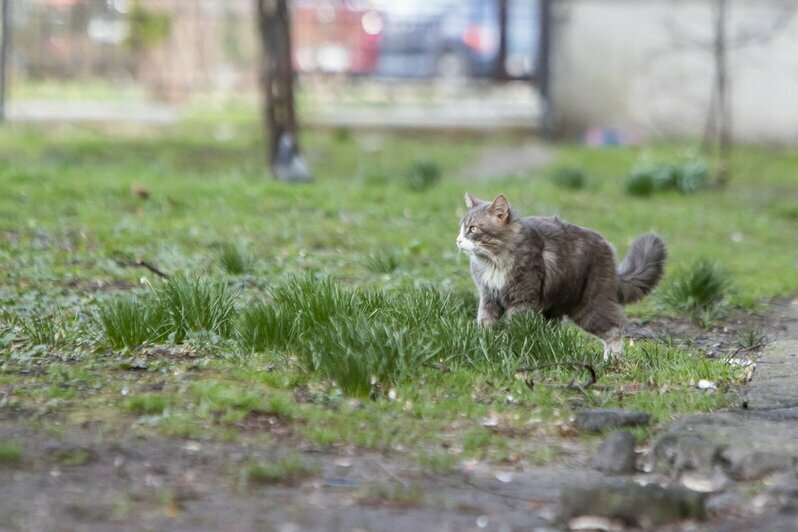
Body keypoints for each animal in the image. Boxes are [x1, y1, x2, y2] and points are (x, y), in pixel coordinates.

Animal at [456, 193, 668, 360]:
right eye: (461, 228)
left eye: (473, 229)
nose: (458, 240)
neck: (493, 262)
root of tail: (605, 244)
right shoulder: (489, 298)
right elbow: (485, 325)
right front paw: (485, 346)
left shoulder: (522, 300)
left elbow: (512, 330)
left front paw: (502, 350)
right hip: (553, 310)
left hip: (589, 305)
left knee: (615, 328)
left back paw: (612, 360)